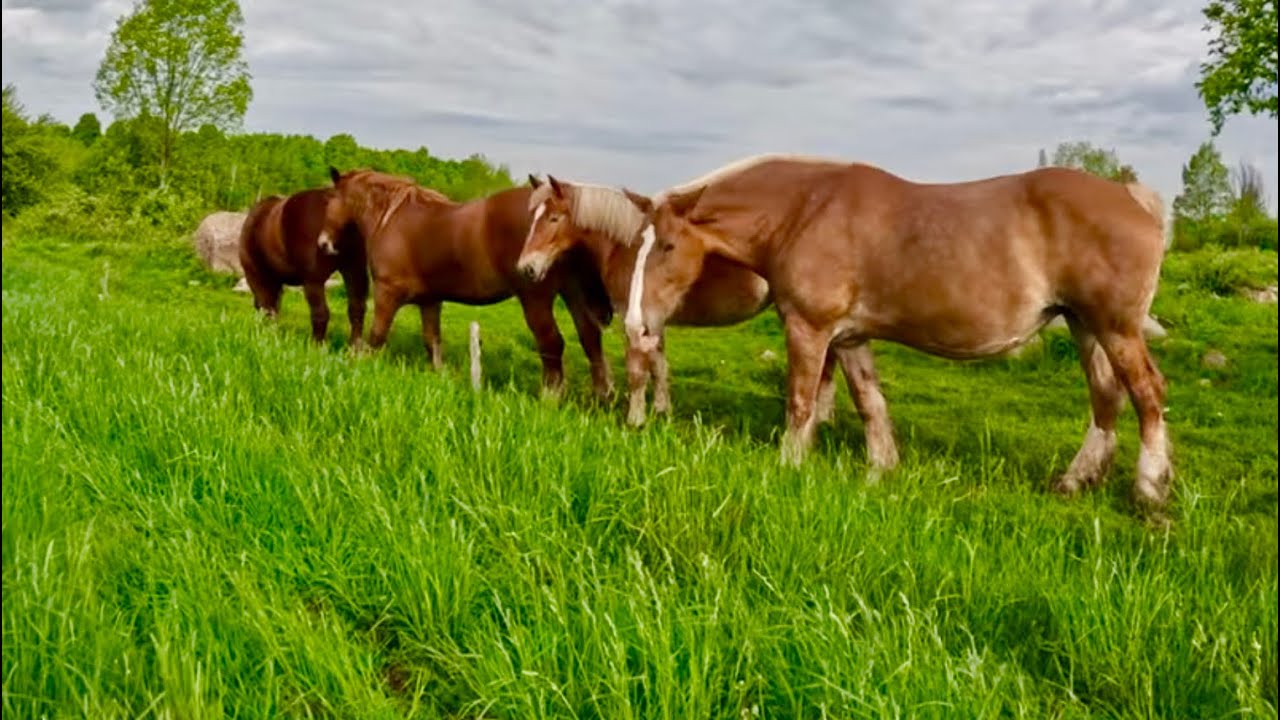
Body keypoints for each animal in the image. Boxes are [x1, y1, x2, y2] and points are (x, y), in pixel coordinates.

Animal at [317, 167, 614, 398]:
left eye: (330, 199)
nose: (323, 244)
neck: (390, 218)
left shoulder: (386, 293)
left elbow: (377, 336)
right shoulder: (430, 301)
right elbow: (432, 343)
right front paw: (439, 378)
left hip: (536, 299)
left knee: (552, 344)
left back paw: (550, 398)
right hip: (572, 293)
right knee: (590, 337)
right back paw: (603, 395)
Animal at [517, 174, 847, 429]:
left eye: (553, 218)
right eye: (531, 218)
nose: (526, 268)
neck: (628, 249)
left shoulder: (634, 318)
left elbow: (638, 369)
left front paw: (636, 419)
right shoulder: (653, 319)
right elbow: (659, 366)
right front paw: (662, 410)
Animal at [620, 154, 1172, 513]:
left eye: (667, 246)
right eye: (639, 244)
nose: (634, 323)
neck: (804, 211)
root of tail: (1133, 197)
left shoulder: (808, 328)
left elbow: (800, 401)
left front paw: (788, 467)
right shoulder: (848, 338)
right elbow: (870, 402)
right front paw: (880, 470)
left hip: (1115, 328)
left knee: (1147, 393)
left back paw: (1150, 491)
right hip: (1084, 326)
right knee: (1105, 398)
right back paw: (1077, 480)